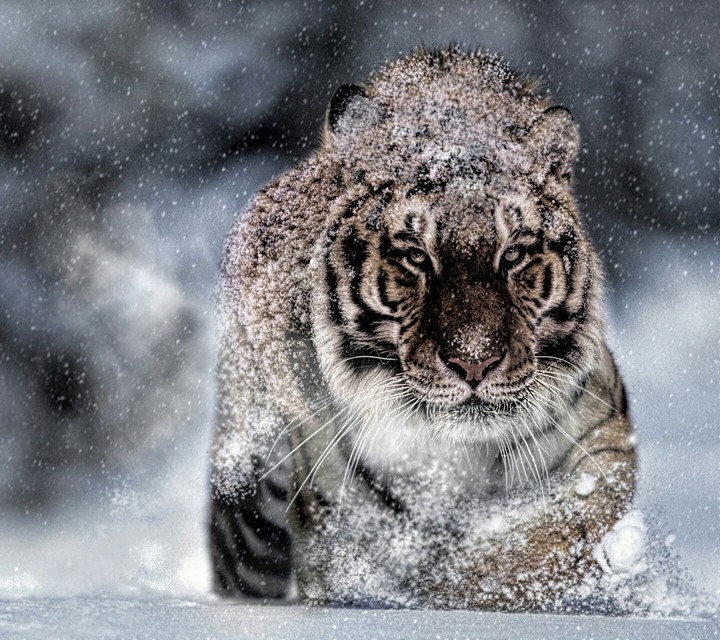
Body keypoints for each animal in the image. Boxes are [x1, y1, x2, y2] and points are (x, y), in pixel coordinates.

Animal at [209, 46, 636, 612]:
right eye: (416, 256)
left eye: (514, 254)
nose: (474, 362)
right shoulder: (339, 499)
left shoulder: (602, 439)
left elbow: (551, 537)